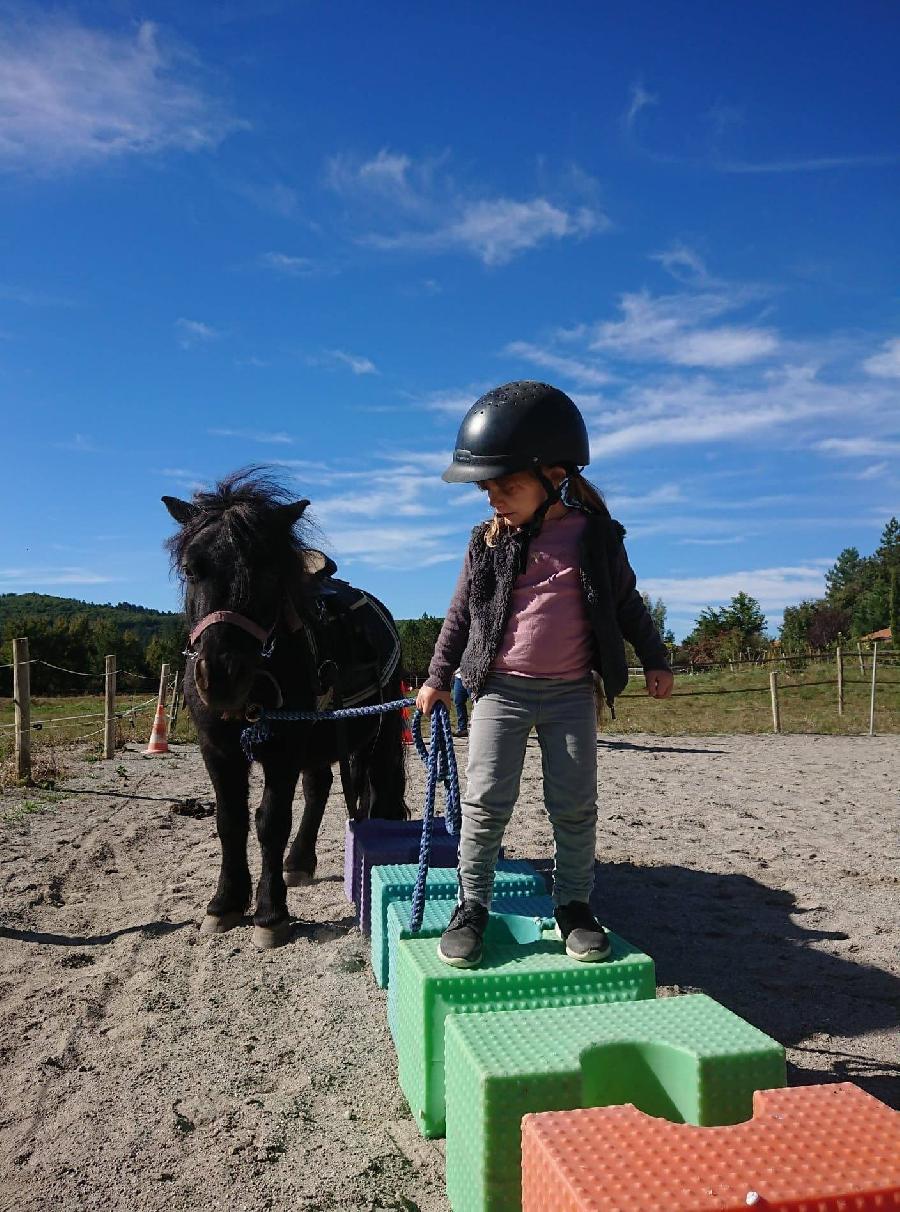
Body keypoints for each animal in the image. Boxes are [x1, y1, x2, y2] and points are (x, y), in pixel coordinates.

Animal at [164, 467, 409, 950]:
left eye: (267, 571)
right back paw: (299, 861)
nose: (221, 676)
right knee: (320, 789)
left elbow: (270, 822)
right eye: (191, 569)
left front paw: (270, 913)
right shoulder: (217, 750)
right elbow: (230, 820)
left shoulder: (284, 749)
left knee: (377, 789)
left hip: (377, 733)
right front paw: (225, 903)